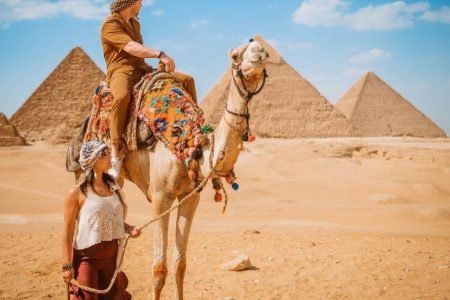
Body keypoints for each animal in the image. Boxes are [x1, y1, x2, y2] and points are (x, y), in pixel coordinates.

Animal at [70, 38, 268, 298]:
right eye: (235, 56)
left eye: (264, 50)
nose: (259, 50)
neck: (190, 147)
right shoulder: (160, 197)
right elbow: (159, 269)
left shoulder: (190, 196)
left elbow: (180, 264)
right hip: (88, 170)